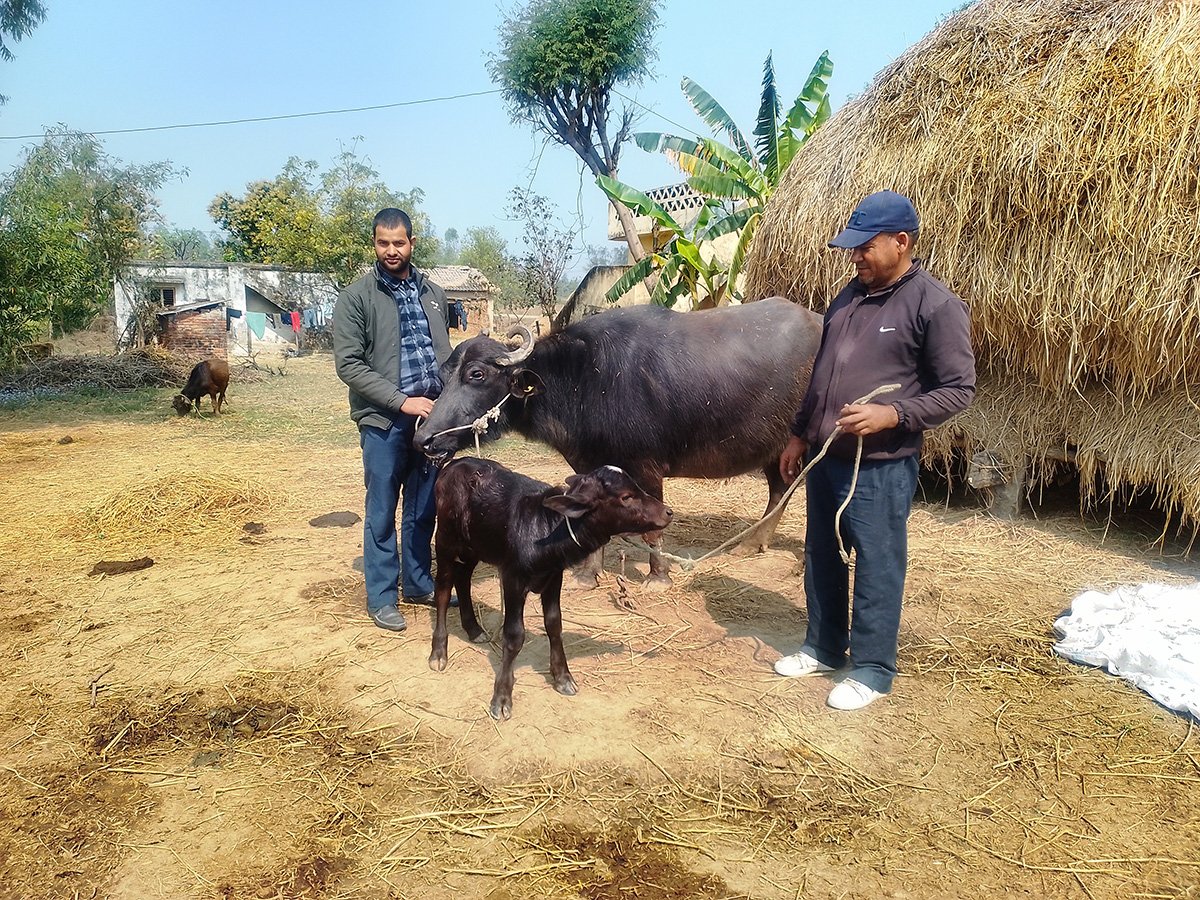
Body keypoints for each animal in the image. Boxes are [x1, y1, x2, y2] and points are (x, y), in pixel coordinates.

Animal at [415, 300, 825, 588]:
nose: (424, 439)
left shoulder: (647, 468)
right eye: (445, 375)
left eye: (477, 374)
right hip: (775, 447)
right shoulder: (591, 466)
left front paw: (658, 577)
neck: (586, 377)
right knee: (781, 488)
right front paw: (587, 575)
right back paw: (753, 543)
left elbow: (654, 528)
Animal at [429, 458, 676, 720]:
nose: (668, 512)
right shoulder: (512, 578)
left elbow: (554, 623)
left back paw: (474, 629)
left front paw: (563, 677)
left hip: (474, 546)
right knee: (443, 589)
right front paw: (502, 698)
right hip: (445, 540)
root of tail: (454, 464)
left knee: (463, 579)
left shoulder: (554, 577)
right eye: (626, 497)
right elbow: (514, 635)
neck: (544, 528)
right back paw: (439, 653)